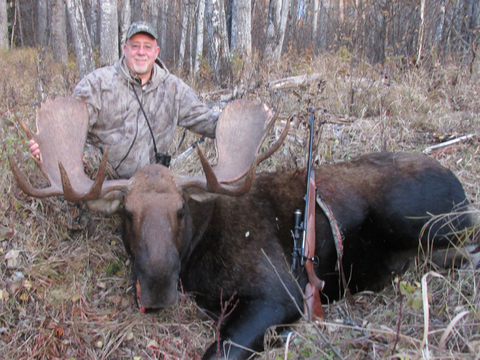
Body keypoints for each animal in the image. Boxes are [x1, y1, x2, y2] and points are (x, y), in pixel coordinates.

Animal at [9, 97, 478, 358]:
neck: (198, 254)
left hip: (416, 219)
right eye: (127, 212)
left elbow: (220, 351)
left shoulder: (280, 292)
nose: (158, 287)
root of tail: (459, 184)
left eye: (181, 210)